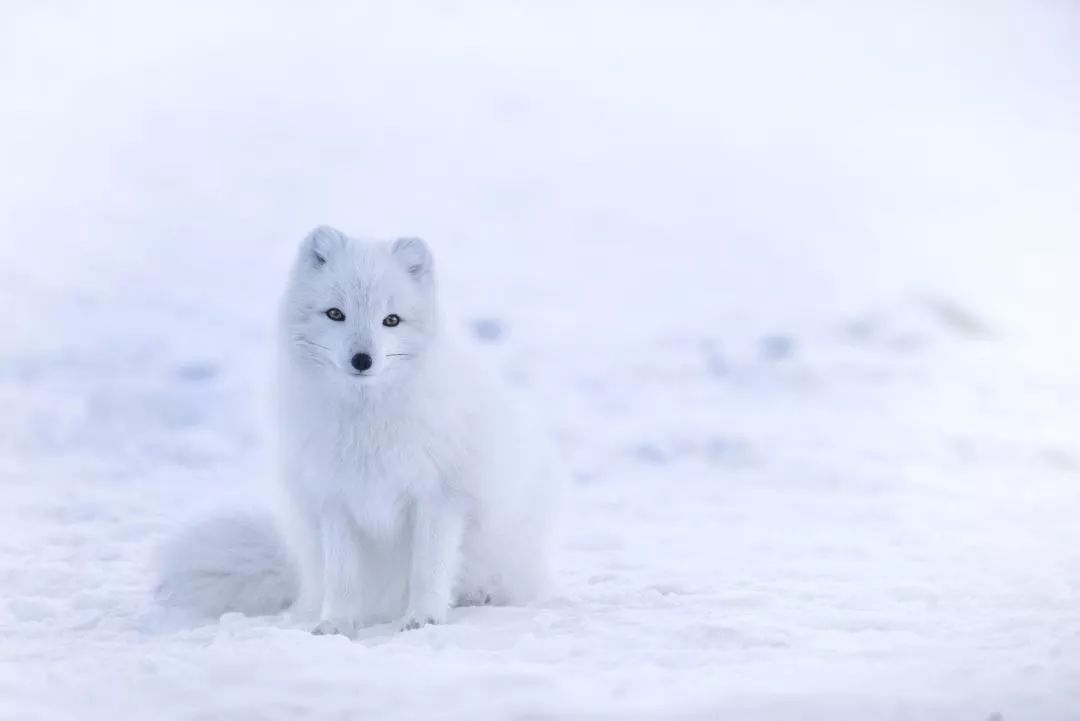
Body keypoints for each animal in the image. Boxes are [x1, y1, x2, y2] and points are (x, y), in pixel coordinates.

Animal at [157, 226, 561, 634]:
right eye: (336, 314)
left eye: (392, 320)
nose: (362, 360)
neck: (366, 423)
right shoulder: (335, 499)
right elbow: (343, 576)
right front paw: (337, 624)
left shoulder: (439, 496)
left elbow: (428, 570)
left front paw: (423, 618)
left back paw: (478, 595)